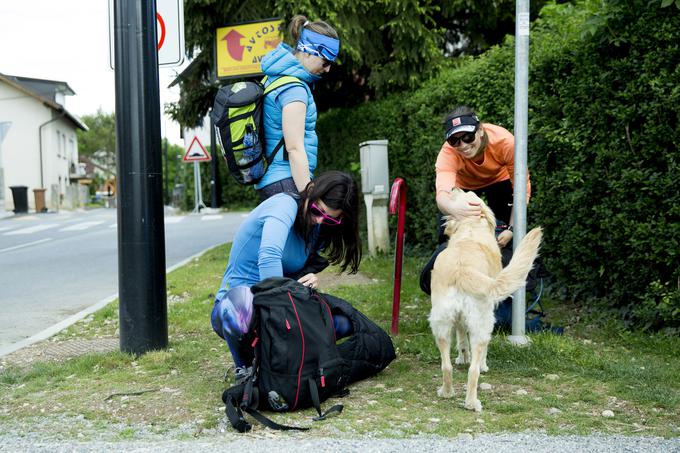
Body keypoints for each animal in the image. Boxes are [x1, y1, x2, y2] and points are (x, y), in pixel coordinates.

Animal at [430, 189, 540, 412]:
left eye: (464, 192)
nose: (453, 187)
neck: (471, 232)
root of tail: (462, 270)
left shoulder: (459, 321)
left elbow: (462, 340)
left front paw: (462, 357)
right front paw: (479, 362)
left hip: (441, 325)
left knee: (446, 365)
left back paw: (447, 392)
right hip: (483, 322)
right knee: (474, 370)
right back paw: (472, 401)